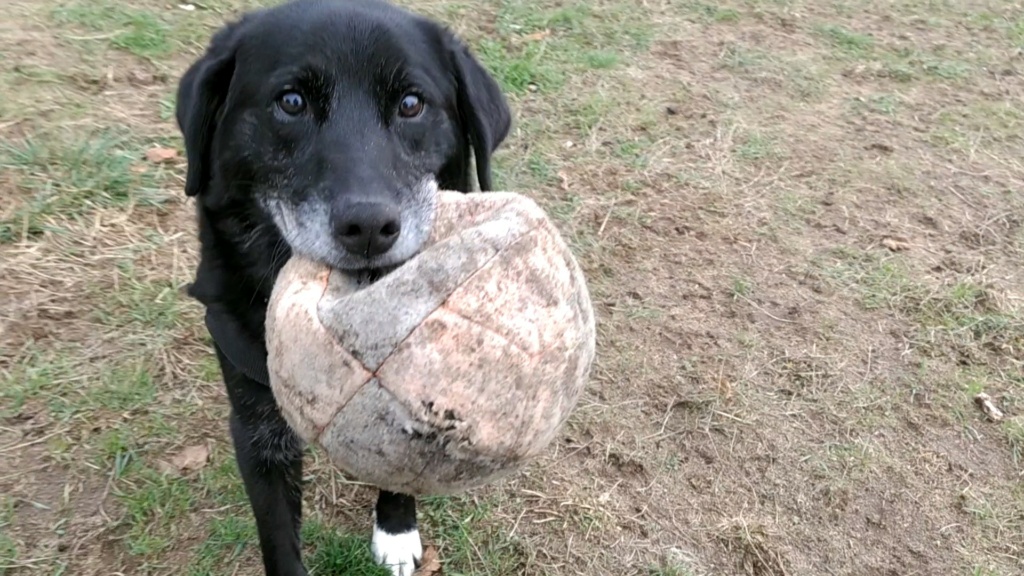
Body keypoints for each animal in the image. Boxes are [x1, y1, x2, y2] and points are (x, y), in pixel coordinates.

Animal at [176, 2, 512, 569]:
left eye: (411, 103)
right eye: (291, 102)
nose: (370, 227)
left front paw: (396, 530)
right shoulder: (256, 428)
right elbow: (279, 539)